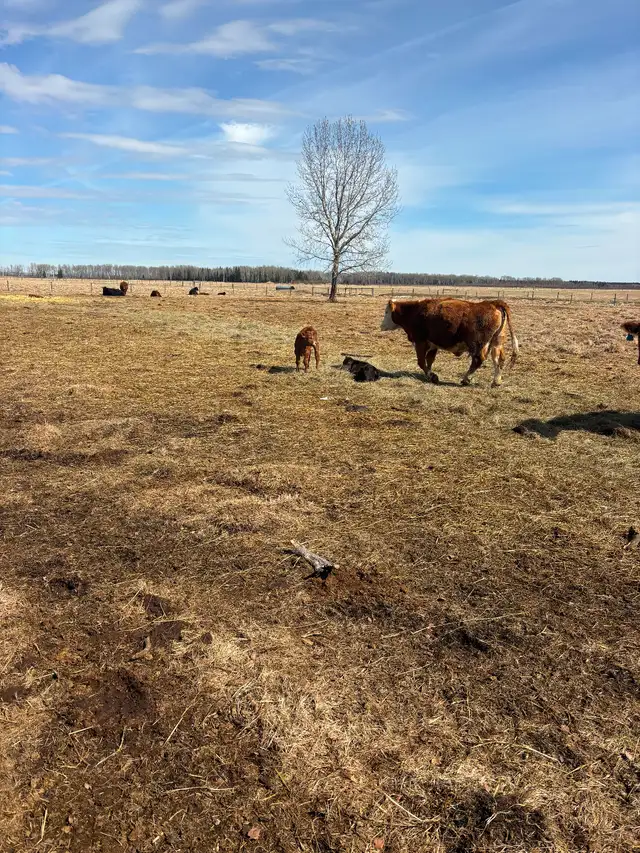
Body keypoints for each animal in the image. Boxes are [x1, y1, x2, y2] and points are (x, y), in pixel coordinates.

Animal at [381, 297, 519, 387]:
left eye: (386, 312)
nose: (381, 326)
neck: (414, 311)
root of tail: (493, 304)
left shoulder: (420, 342)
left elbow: (421, 362)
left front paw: (432, 376)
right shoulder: (433, 345)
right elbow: (429, 360)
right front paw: (431, 375)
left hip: (478, 345)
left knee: (478, 360)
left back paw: (466, 379)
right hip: (497, 342)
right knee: (498, 359)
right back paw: (496, 381)